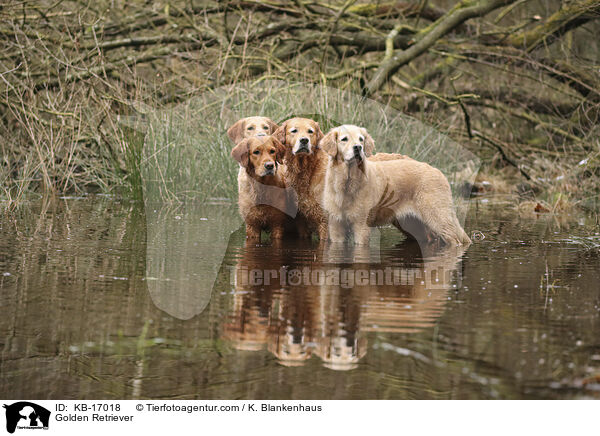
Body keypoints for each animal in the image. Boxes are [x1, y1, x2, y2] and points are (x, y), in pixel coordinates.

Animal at [322, 125, 472, 245]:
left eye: (361, 139)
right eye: (344, 139)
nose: (358, 148)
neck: (346, 182)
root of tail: (438, 172)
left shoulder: (362, 225)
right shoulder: (335, 226)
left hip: (437, 217)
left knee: (454, 240)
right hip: (413, 223)